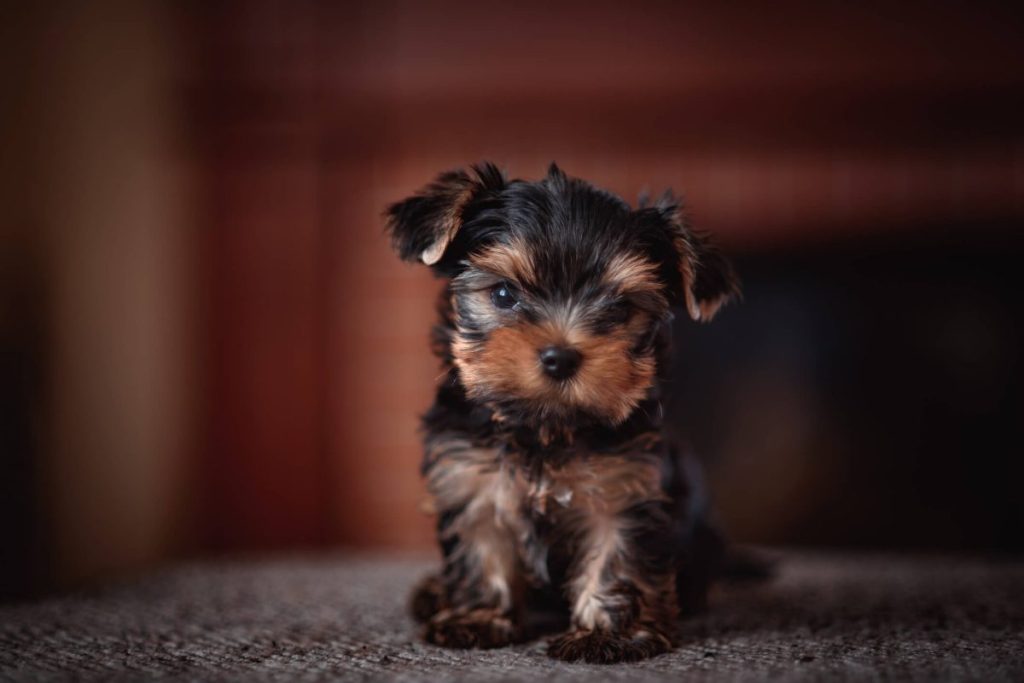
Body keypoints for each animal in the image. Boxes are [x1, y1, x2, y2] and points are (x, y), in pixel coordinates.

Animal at [387, 161, 741, 663]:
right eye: (503, 294)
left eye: (620, 309)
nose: (561, 357)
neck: (544, 426)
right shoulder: (470, 474)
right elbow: (481, 545)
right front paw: (476, 618)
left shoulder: (624, 485)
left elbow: (615, 556)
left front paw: (609, 634)